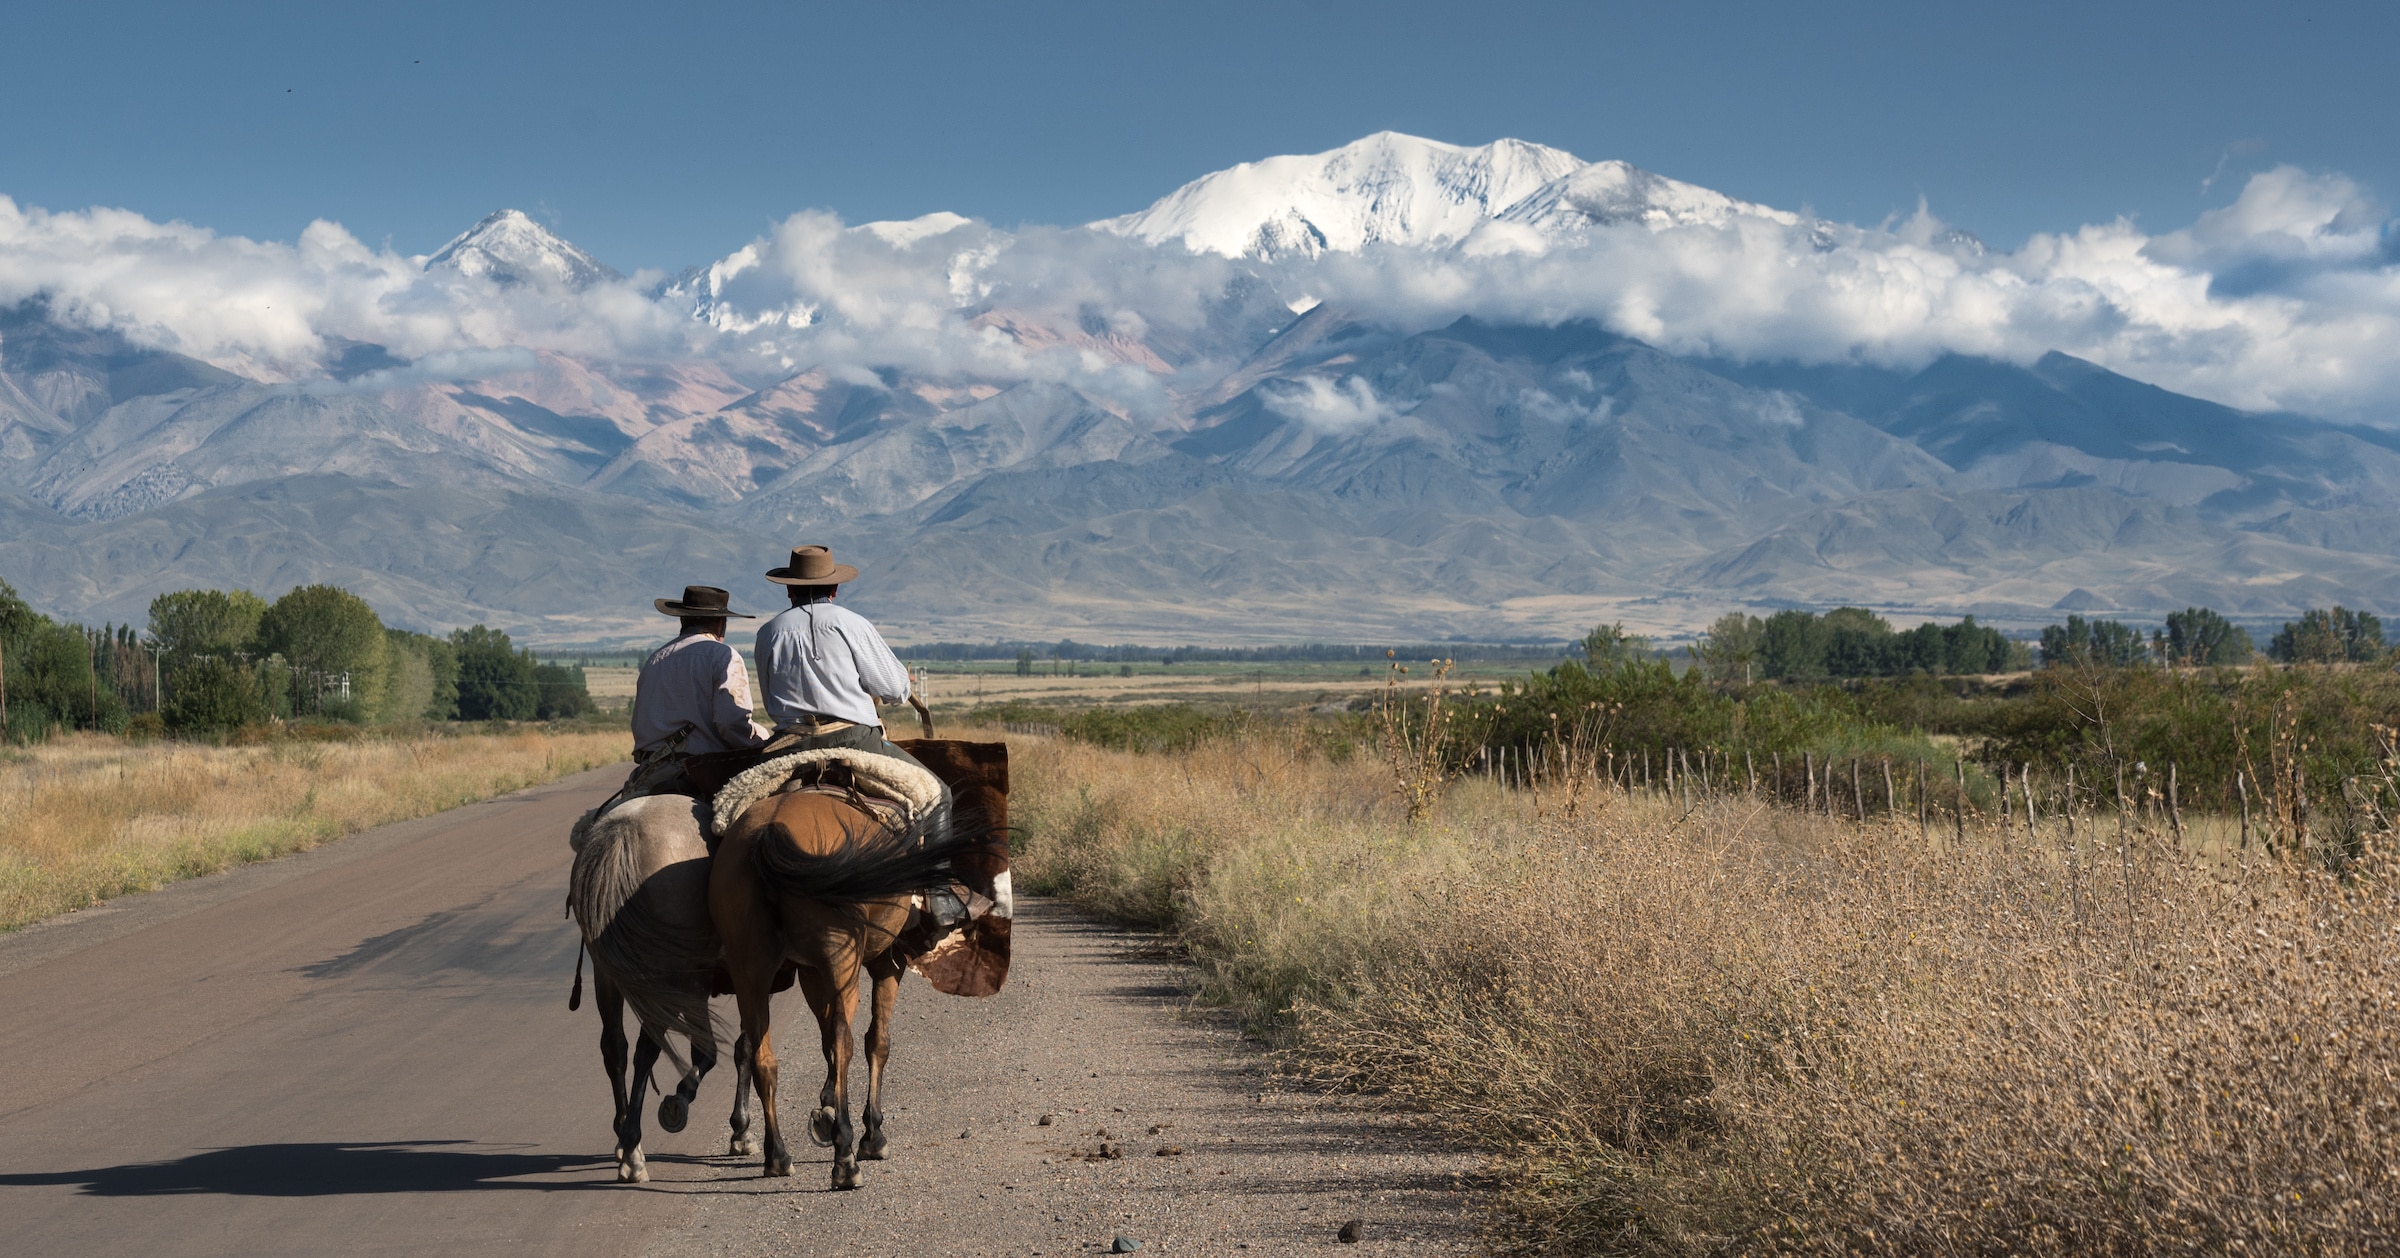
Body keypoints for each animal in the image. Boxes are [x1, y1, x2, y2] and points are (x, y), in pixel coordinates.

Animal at [566, 797, 753, 1181]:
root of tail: (621, 834)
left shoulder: (696, 984)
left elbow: (710, 1050)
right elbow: (741, 1047)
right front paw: (740, 1129)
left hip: (609, 974)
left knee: (615, 1049)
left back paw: (625, 1136)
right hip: (661, 978)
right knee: (646, 1050)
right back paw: (633, 1152)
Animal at [710, 744, 1012, 1195]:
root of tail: (769, 831)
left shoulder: (811, 972)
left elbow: (823, 1043)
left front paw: (825, 1111)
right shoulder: (887, 963)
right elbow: (876, 1042)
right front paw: (871, 1133)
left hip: (751, 967)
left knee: (763, 1051)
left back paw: (777, 1154)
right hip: (842, 962)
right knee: (844, 1042)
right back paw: (845, 1158)